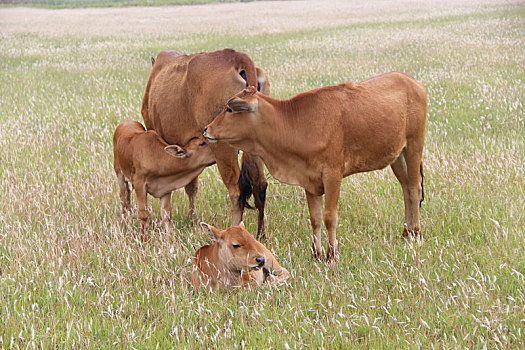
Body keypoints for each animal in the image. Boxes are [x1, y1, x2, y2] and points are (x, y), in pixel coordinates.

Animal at [140, 49, 270, 239]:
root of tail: (236, 57)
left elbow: (190, 186)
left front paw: (192, 218)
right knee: (260, 185)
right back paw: (261, 235)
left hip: (223, 148)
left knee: (236, 191)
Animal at [203, 73, 428, 266]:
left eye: (229, 110)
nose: (206, 129)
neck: (298, 125)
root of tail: (411, 80)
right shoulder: (309, 180)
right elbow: (315, 218)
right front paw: (316, 254)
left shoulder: (333, 175)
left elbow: (329, 217)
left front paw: (332, 255)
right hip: (397, 156)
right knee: (406, 189)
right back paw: (406, 232)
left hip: (414, 146)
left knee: (414, 189)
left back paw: (416, 233)